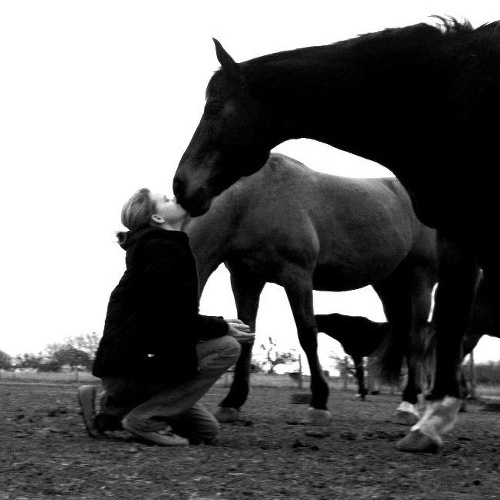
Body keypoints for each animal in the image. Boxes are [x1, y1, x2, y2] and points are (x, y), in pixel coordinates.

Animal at [186, 153, 436, 426]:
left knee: (415, 338)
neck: (252, 201)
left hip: (421, 279)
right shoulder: (245, 279)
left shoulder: (297, 276)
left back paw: (408, 404)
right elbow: (247, 336)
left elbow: (307, 335)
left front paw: (319, 402)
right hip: (389, 284)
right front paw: (232, 401)